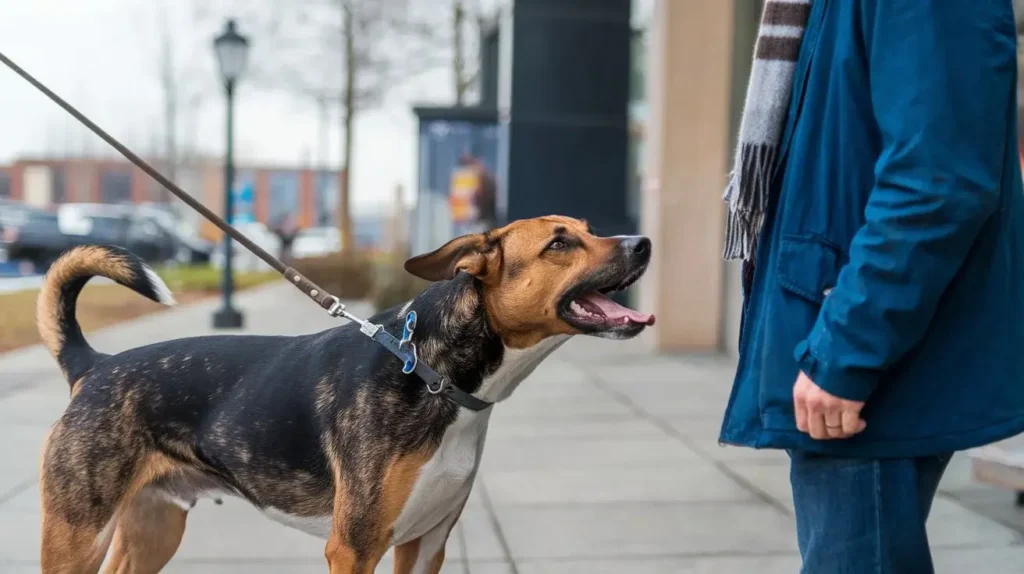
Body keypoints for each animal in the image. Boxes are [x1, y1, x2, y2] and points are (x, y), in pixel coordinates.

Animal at [37, 212, 655, 568]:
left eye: (589, 229)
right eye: (559, 244)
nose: (644, 242)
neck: (432, 376)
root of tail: (94, 365)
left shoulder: (425, 545)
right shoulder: (355, 547)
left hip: (153, 528)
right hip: (77, 534)